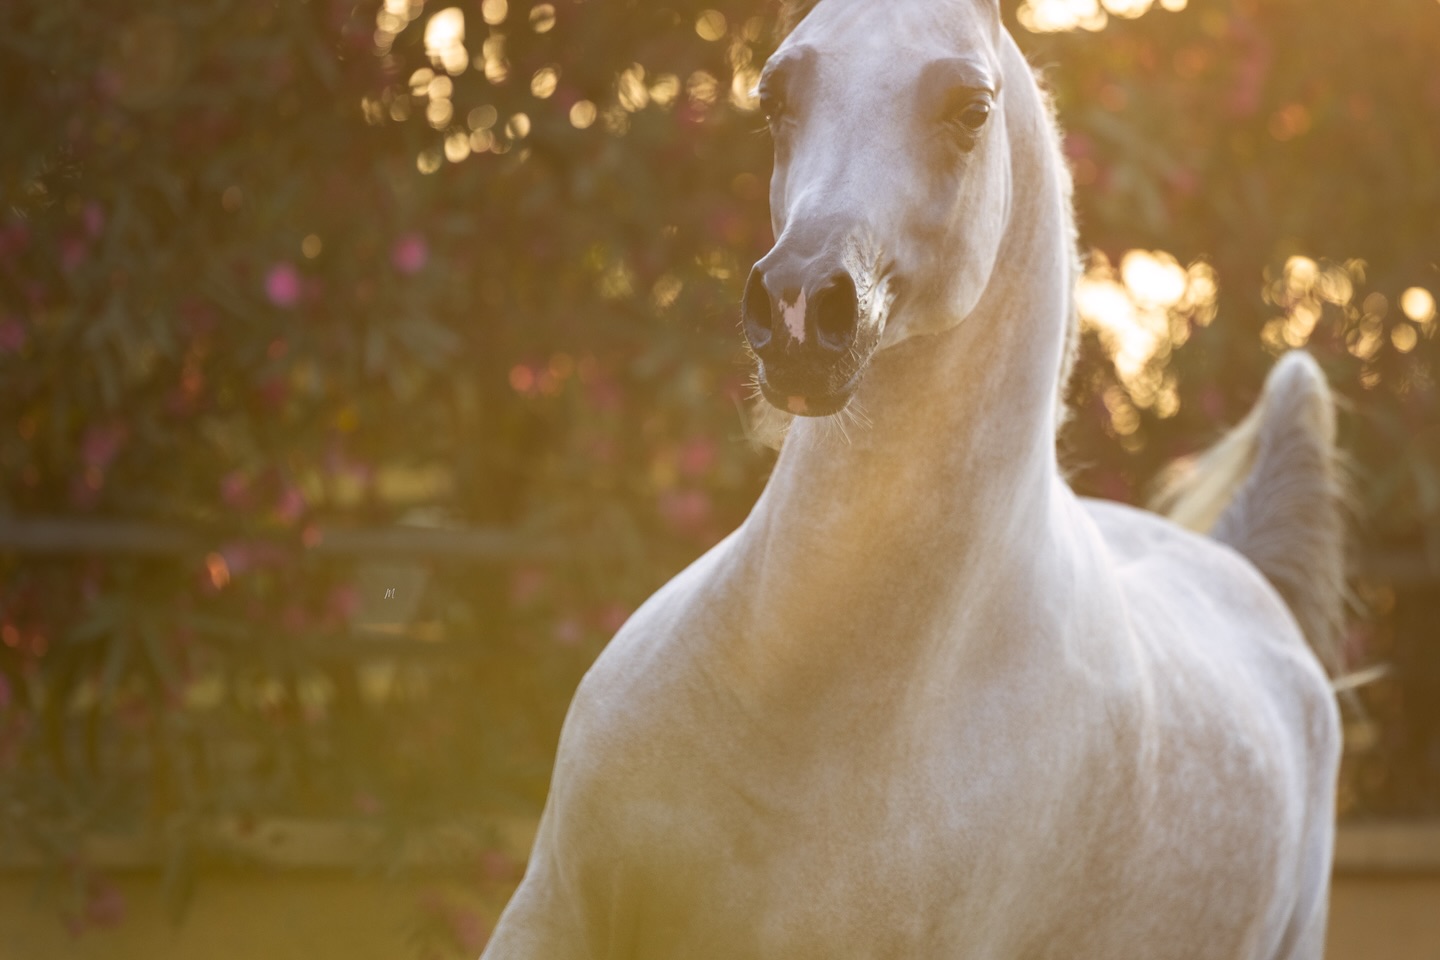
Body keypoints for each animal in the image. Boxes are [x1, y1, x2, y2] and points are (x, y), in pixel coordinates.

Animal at [481, 1, 1345, 957]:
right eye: (774, 94)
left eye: (971, 108)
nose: (796, 305)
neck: (788, 693)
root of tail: (1247, 575)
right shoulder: (548, 913)